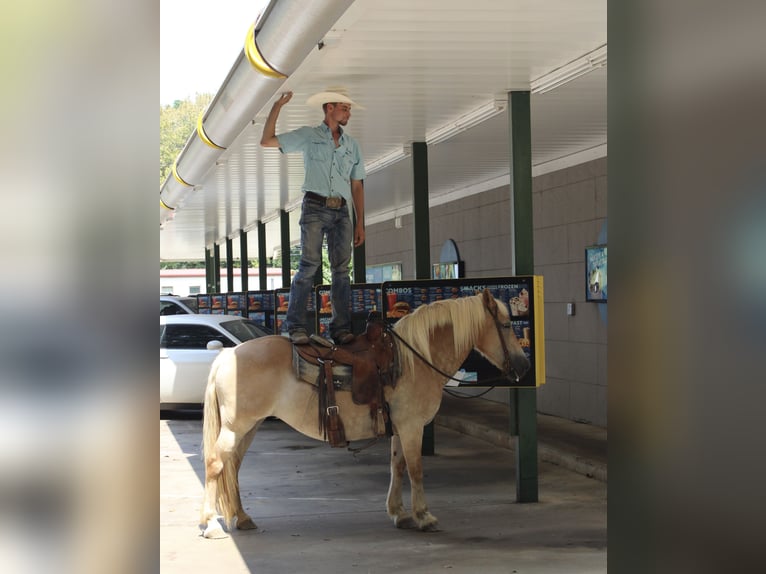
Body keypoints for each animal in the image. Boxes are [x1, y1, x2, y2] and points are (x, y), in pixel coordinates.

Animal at [201, 292, 532, 540]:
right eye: (505, 325)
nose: (524, 365)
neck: (415, 360)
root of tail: (227, 356)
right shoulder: (412, 427)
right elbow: (416, 470)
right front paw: (424, 516)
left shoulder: (400, 428)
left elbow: (397, 467)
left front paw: (399, 513)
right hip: (236, 427)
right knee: (216, 463)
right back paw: (210, 524)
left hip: (249, 427)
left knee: (233, 467)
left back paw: (242, 517)